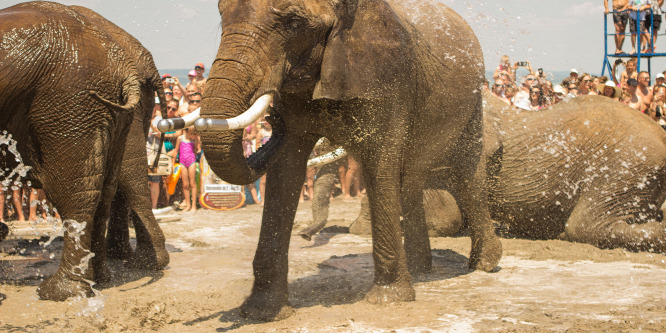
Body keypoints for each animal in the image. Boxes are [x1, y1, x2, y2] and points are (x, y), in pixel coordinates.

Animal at [0, 0, 150, 300]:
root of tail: (124, 67)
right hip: (111, 113)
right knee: (106, 189)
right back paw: (101, 279)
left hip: (68, 100)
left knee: (73, 191)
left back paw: (60, 292)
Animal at [187, 0, 498, 322]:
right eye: (222, 15)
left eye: (294, 23)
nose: (273, 119)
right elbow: (285, 171)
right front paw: (261, 312)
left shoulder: (388, 75)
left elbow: (381, 164)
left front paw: (390, 299)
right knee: (410, 179)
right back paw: (420, 268)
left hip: (473, 101)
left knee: (467, 173)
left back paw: (484, 264)